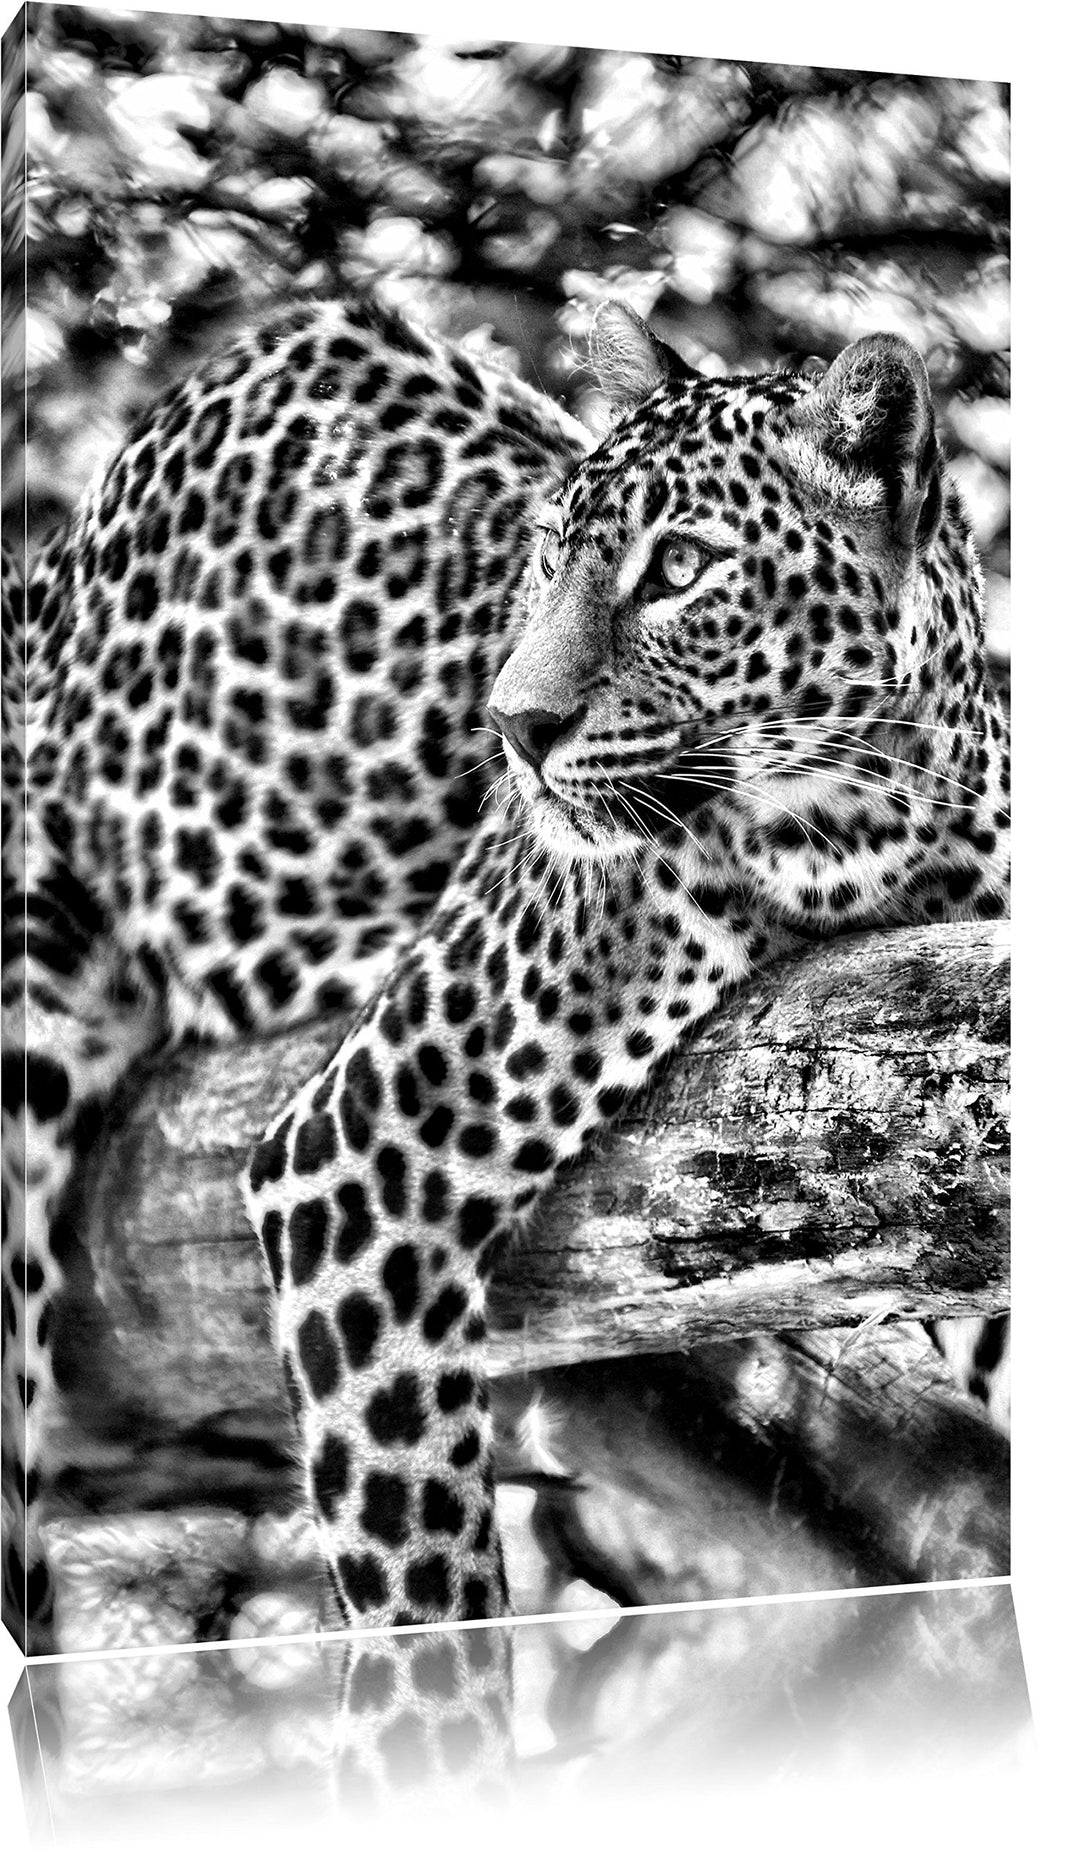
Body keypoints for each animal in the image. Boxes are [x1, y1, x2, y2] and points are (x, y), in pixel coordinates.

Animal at [1, 292, 1010, 1666]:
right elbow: (424, 1602)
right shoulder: (356, 1151)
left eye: (680, 567)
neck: (879, 826)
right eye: (548, 557)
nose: (513, 726)